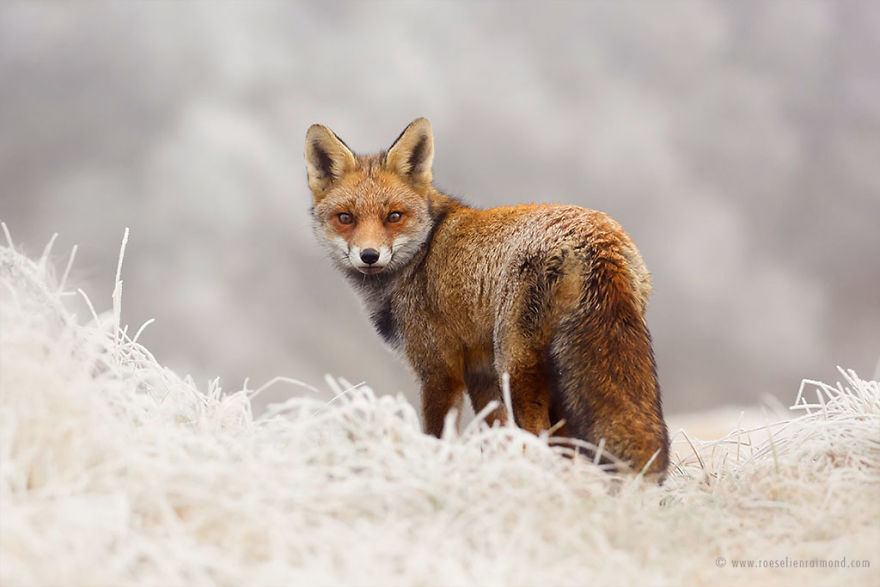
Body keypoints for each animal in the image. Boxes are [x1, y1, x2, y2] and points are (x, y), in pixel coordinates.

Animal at [304, 117, 669, 477]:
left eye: (394, 216)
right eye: (346, 218)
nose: (369, 255)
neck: (421, 255)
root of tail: (597, 240)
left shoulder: (439, 372)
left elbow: (437, 438)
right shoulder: (480, 376)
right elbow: (497, 438)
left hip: (517, 371)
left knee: (541, 438)